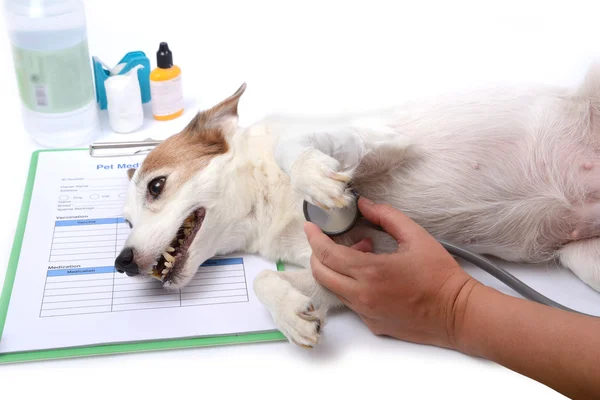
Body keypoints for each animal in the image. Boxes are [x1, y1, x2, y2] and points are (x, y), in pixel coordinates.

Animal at [118, 63, 600, 346]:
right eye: (125, 222)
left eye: (156, 186)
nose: (121, 263)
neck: (266, 203)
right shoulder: (349, 262)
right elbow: (266, 280)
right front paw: (292, 315)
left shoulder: (380, 139)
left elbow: (293, 149)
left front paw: (314, 176)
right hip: (583, 258)